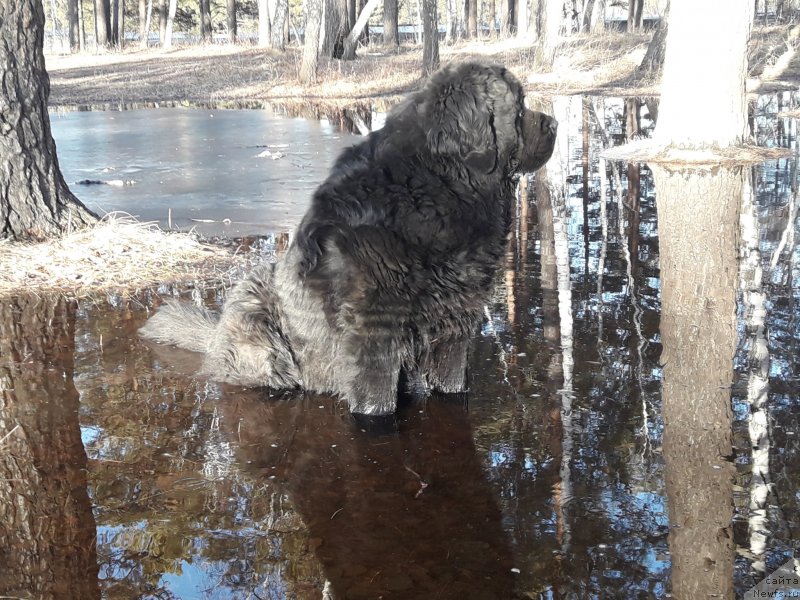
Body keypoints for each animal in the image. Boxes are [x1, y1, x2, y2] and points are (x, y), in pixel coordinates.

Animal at [139, 62, 556, 418]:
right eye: (519, 107)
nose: (553, 122)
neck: (442, 183)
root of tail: (214, 337)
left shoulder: (456, 322)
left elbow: (452, 383)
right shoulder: (374, 331)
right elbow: (376, 401)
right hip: (256, 308)